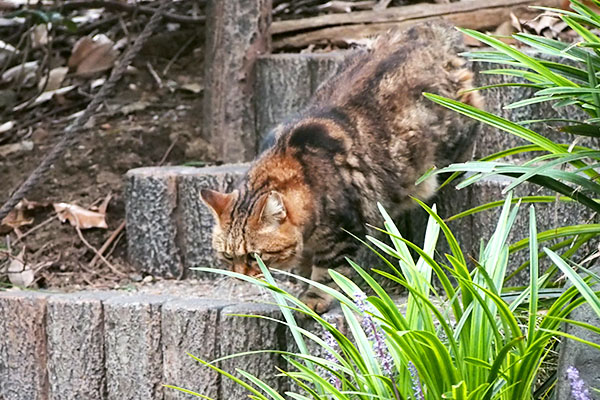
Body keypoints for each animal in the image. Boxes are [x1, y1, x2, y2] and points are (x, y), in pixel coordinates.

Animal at [202, 23, 482, 314]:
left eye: (253, 256)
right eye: (227, 256)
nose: (239, 275)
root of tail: (427, 29)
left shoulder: (343, 234)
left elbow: (326, 273)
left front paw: (313, 299)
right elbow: (306, 267)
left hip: (453, 127)